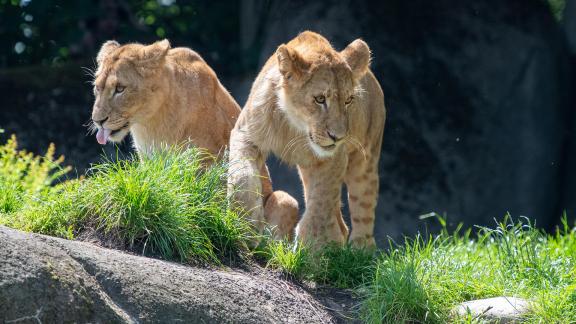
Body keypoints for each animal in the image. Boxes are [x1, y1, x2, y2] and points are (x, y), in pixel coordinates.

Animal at [227, 31, 384, 247]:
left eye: (348, 100)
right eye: (320, 99)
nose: (338, 137)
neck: (294, 126)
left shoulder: (334, 158)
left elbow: (320, 205)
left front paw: (313, 247)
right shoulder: (245, 134)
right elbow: (242, 174)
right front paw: (246, 220)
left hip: (365, 162)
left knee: (362, 213)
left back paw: (358, 250)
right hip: (308, 170)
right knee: (340, 222)